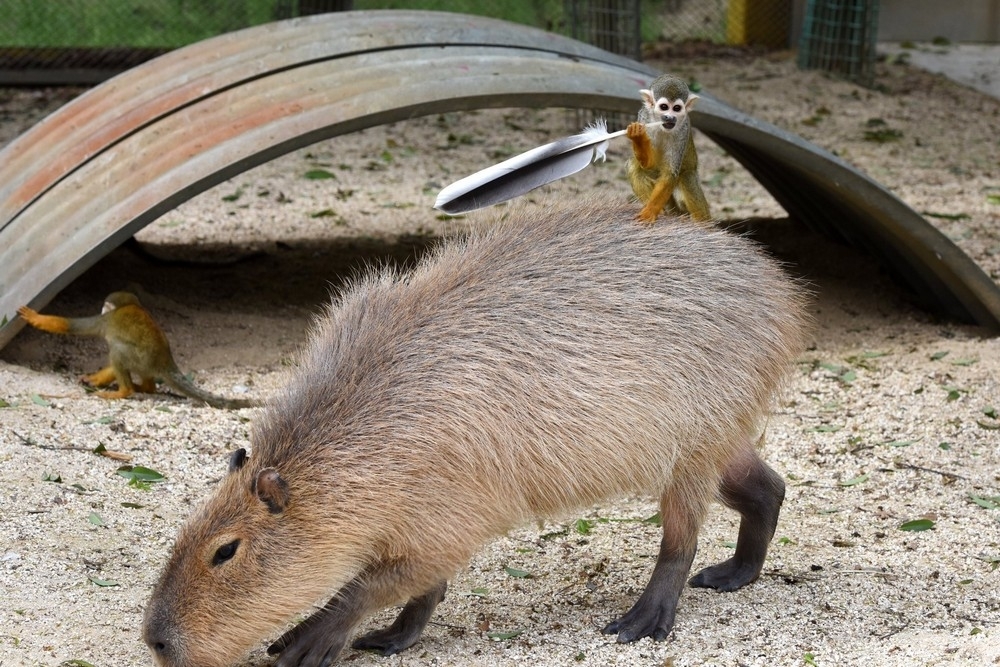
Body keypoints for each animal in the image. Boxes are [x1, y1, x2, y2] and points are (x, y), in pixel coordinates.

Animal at [18, 294, 258, 412]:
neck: (126, 306)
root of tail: (166, 361)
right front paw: (94, 378)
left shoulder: (104, 320)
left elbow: (71, 326)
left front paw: (35, 317)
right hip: (146, 364)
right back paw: (146, 387)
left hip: (140, 358)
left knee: (117, 350)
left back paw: (125, 391)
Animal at [624, 72, 712, 224]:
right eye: (664, 107)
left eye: (676, 108)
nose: (669, 118)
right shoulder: (643, 118)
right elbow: (648, 164)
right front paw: (638, 136)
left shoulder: (684, 129)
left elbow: (670, 173)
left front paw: (649, 212)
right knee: (634, 166)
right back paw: (663, 211)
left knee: (687, 176)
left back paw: (702, 221)